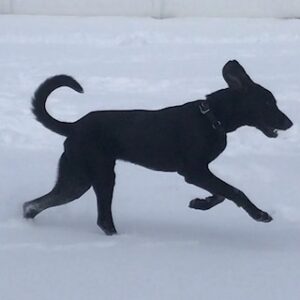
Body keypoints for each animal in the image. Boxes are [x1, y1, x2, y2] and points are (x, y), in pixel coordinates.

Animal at [22, 60, 292, 234]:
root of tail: (74, 126)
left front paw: (199, 203)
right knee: (103, 220)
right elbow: (234, 192)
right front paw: (259, 214)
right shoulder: (194, 171)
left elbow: (220, 194)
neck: (212, 117)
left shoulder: (199, 173)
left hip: (77, 179)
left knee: (34, 204)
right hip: (100, 175)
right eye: (268, 103)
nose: (289, 122)